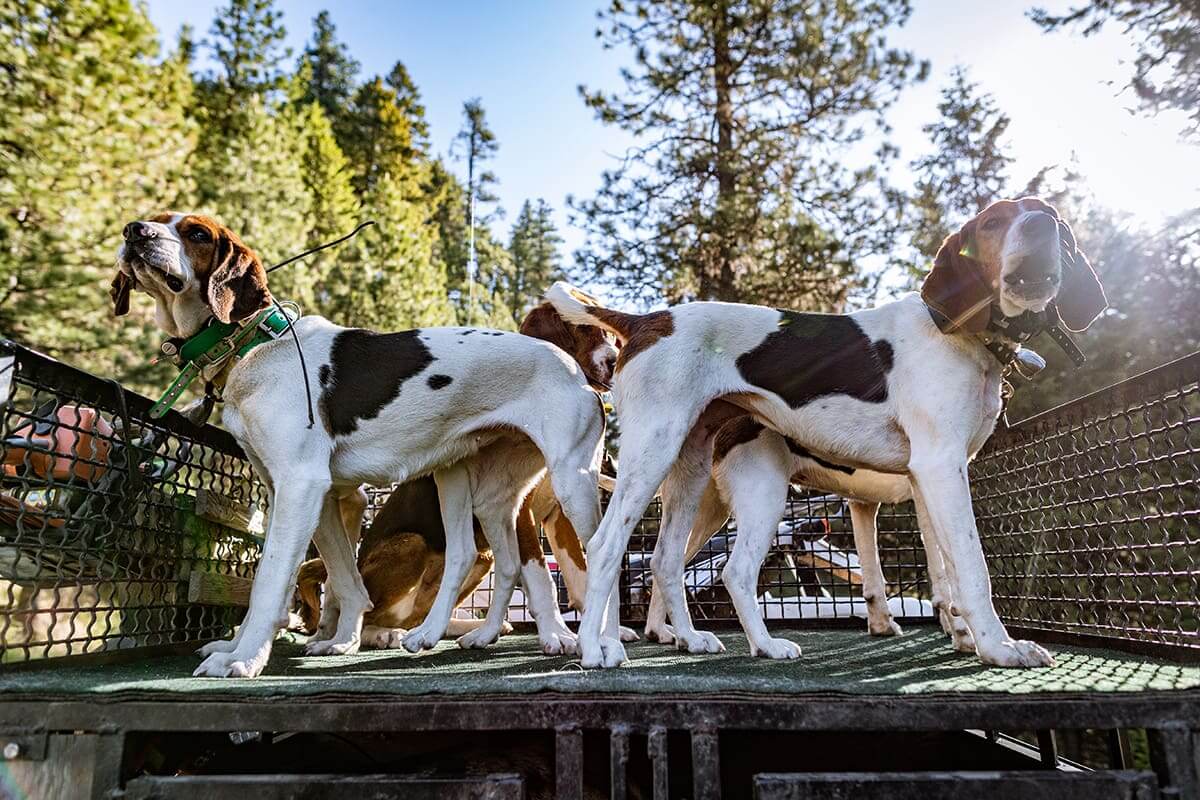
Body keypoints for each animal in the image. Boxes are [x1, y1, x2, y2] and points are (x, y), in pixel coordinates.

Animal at [112, 212, 614, 676]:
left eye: (196, 233)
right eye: (157, 220)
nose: (134, 231)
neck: (253, 345)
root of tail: (574, 368)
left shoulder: (301, 485)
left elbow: (272, 578)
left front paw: (244, 660)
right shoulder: (307, 495)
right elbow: (329, 577)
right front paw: (286, 643)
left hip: (572, 483)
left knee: (600, 553)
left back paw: (603, 644)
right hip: (483, 491)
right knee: (483, 557)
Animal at [549, 199, 1108, 671]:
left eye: (1054, 218)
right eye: (993, 223)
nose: (1041, 228)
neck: (964, 334)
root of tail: (647, 319)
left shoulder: (928, 483)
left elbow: (945, 574)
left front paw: (965, 637)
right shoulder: (942, 468)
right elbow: (972, 568)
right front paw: (1000, 648)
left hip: (690, 470)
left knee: (667, 560)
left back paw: (697, 638)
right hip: (675, 460)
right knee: (622, 548)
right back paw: (600, 650)